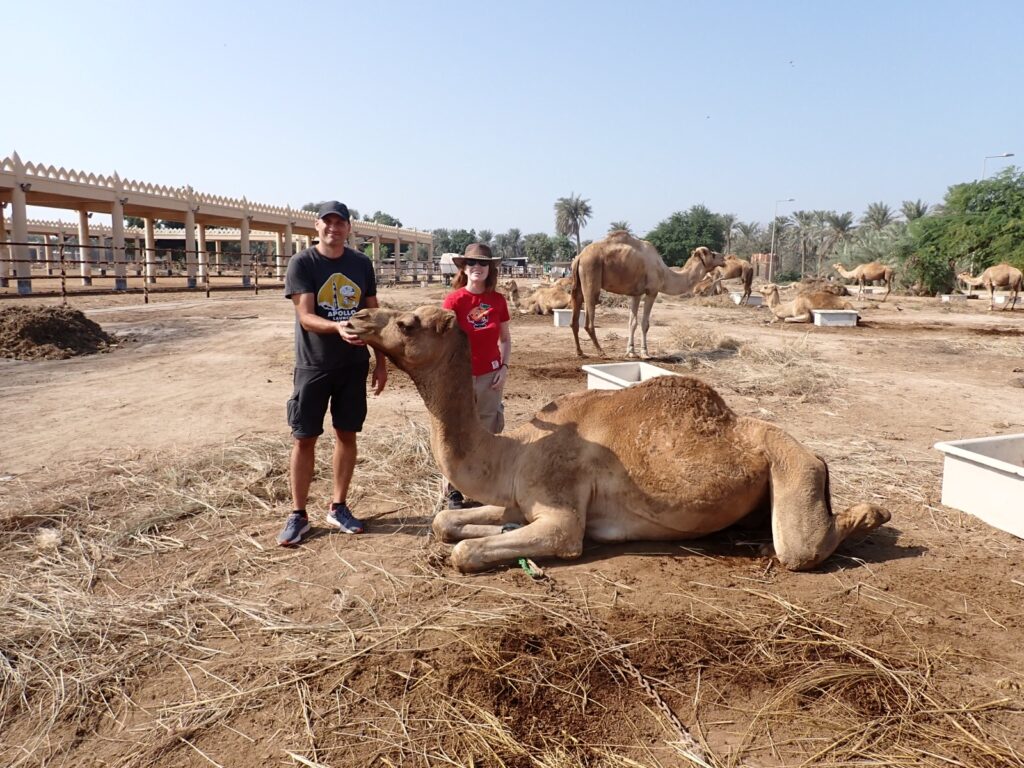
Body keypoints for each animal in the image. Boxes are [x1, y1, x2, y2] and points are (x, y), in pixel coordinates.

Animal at [346, 305, 890, 573]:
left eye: (406, 323)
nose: (354, 319)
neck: (512, 452)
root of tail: (815, 454)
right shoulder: (518, 500)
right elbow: (444, 524)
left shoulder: (561, 511)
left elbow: (470, 552)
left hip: (793, 475)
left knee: (802, 547)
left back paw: (875, 513)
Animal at [570, 231, 726, 358]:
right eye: (712, 254)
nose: (724, 258)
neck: (665, 273)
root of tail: (579, 257)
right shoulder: (652, 291)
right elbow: (645, 323)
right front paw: (645, 353)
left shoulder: (635, 293)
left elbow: (632, 322)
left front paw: (631, 352)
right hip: (591, 274)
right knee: (589, 320)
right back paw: (601, 352)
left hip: (577, 283)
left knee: (575, 315)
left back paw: (580, 352)